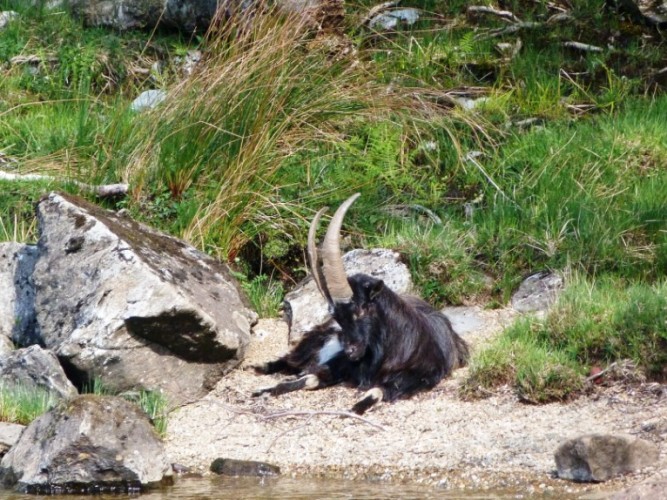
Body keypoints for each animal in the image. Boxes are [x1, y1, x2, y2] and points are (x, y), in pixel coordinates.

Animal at [253, 193, 472, 416]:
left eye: (360, 309)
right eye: (335, 315)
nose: (350, 350)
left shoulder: (418, 378)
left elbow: (376, 391)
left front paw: (355, 408)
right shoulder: (341, 364)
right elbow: (311, 378)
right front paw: (266, 389)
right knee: (291, 361)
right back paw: (260, 368)